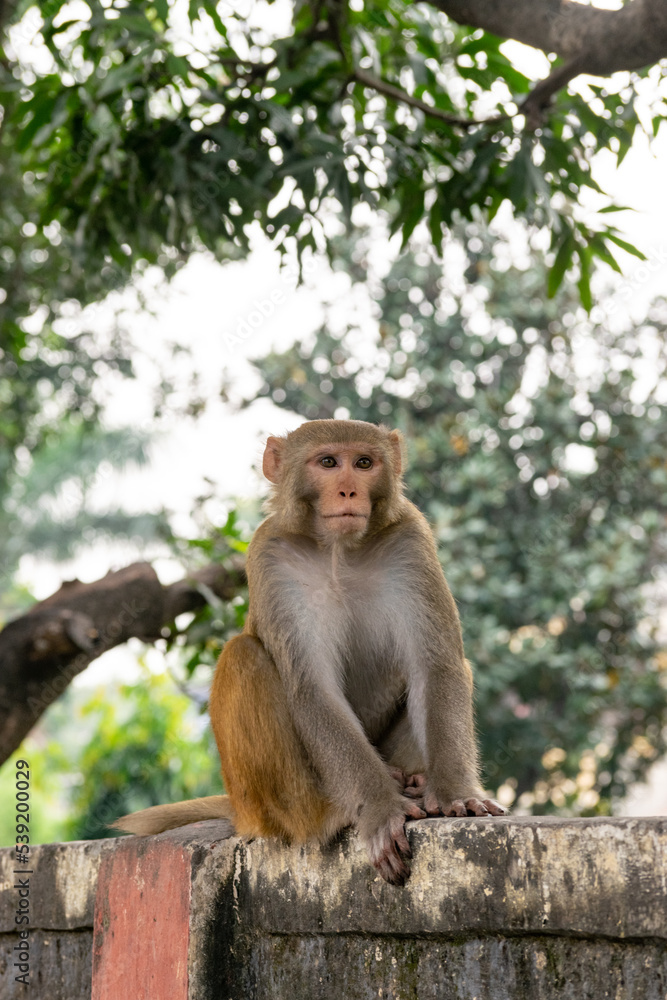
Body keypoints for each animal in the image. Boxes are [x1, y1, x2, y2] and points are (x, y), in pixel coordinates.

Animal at [114, 419, 505, 885]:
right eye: (328, 462)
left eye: (364, 463)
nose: (348, 491)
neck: (339, 549)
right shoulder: (270, 556)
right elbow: (312, 689)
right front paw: (381, 807)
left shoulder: (412, 540)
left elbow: (437, 667)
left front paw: (454, 795)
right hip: (258, 803)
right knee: (243, 656)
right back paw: (328, 812)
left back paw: (411, 783)